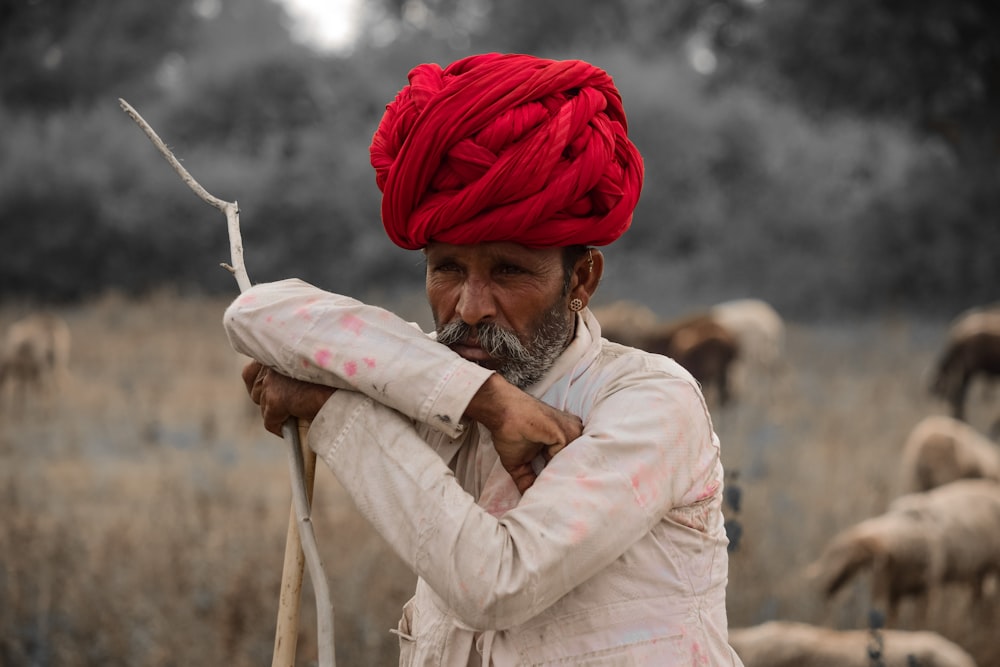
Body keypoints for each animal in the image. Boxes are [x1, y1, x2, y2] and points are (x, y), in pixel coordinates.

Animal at [804, 480, 1000, 628]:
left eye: (845, 557)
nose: (824, 588)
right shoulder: (893, 593)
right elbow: (891, 623)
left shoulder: (927, 589)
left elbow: (921, 623)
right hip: (978, 573)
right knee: (977, 597)